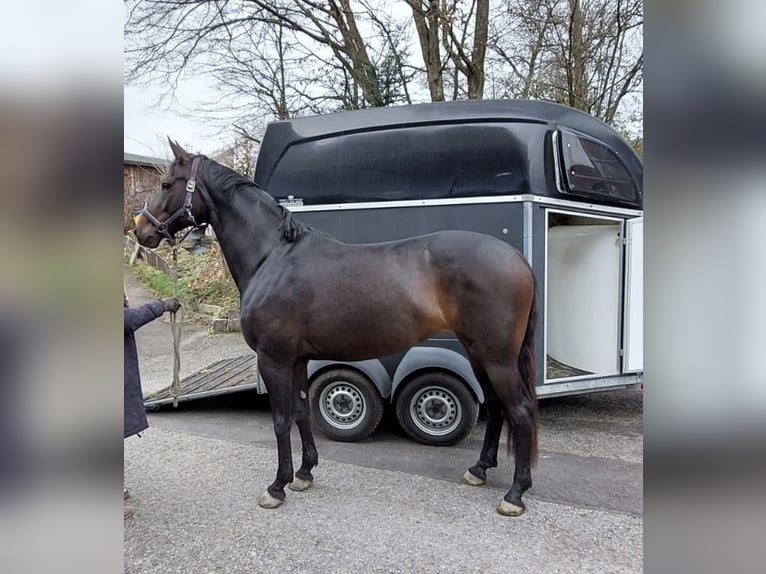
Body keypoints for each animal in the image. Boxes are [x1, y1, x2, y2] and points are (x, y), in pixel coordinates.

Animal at [135, 140, 540, 516]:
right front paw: (304, 474)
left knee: (519, 410)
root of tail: (516, 257)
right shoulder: (297, 360)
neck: (272, 256)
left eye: (167, 183)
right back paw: (479, 470)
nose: (141, 230)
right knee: (497, 407)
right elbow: (301, 413)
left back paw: (515, 494)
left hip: (496, 358)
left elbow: (280, 421)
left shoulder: (274, 359)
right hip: (478, 354)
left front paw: (277, 487)